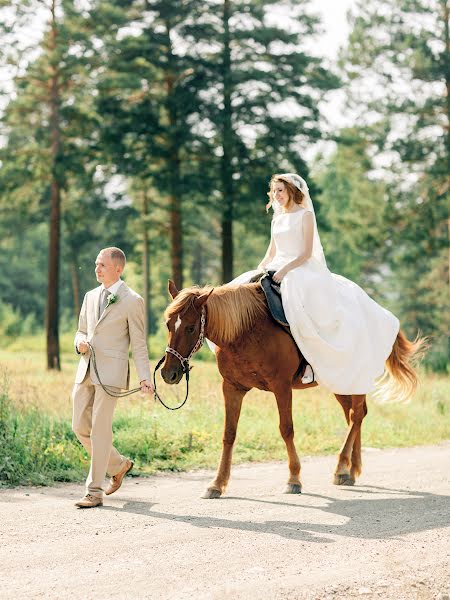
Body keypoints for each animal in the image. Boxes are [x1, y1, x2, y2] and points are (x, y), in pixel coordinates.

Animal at [161, 278, 422, 500]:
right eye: (168, 325)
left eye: (191, 328)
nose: (168, 373)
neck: (246, 331)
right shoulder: (232, 388)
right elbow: (229, 434)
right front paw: (217, 484)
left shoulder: (281, 386)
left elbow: (286, 429)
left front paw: (294, 479)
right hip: (339, 381)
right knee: (353, 416)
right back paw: (351, 469)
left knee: (356, 415)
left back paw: (341, 468)